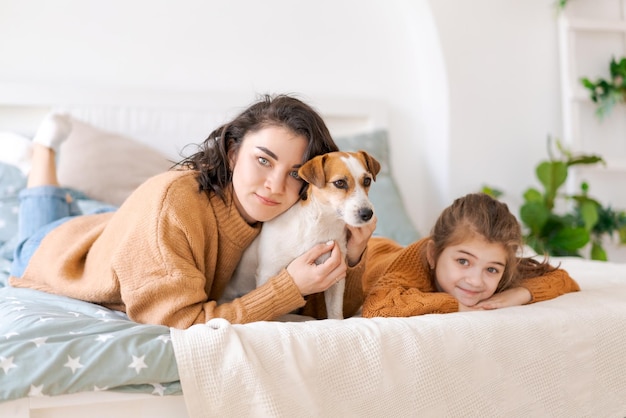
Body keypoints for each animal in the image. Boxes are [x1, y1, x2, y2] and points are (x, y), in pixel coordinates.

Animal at [224, 150, 380, 320]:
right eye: (339, 183)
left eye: (367, 180)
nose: (368, 214)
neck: (323, 226)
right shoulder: (268, 272)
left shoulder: (336, 278)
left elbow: (335, 312)